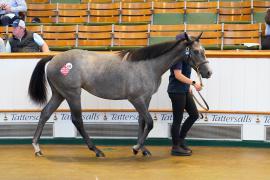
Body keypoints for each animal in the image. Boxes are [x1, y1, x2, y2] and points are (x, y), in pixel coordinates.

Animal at [28, 33, 212, 157]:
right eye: (196, 51)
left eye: (203, 50)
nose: (208, 72)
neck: (147, 65)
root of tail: (54, 58)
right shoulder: (136, 99)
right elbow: (150, 122)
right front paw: (136, 148)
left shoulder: (145, 99)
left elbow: (142, 122)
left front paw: (142, 149)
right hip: (72, 94)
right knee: (77, 120)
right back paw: (97, 150)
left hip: (59, 94)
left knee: (45, 113)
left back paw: (37, 148)